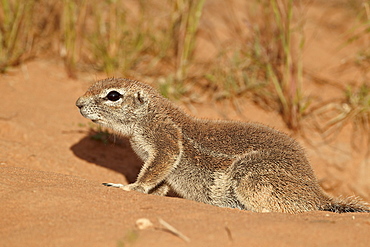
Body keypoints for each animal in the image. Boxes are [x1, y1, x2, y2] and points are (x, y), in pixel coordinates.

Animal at [76, 78, 370, 213]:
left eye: (113, 95)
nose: (78, 103)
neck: (151, 114)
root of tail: (317, 195)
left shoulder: (165, 140)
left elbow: (154, 170)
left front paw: (129, 187)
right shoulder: (165, 164)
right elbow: (160, 182)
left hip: (251, 174)